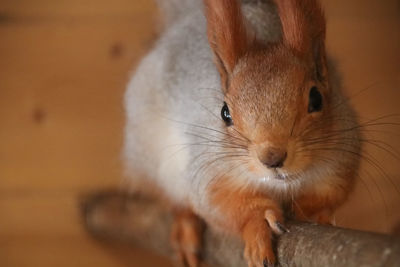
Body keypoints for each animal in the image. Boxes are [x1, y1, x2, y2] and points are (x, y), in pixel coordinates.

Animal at [123, 0, 360, 267]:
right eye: (225, 112)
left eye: (316, 99)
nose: (272, 158)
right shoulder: (211, 174)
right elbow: (222, 205)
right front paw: (260, 221)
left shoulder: (340, 165)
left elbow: (326, 198)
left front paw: (312, 214)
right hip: (150, 158)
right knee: (173, 200)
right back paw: (185, 227)